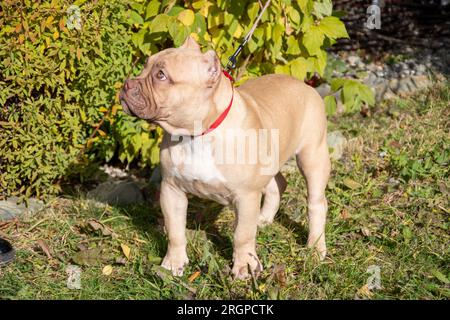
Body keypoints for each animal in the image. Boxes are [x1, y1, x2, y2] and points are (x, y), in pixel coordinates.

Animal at [119, 36, 330, 278]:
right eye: (145, 66)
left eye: (161, 75)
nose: (126, 84)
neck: (198, 133)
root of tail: (305, 86)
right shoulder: (172, 190)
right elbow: (175, 231)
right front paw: (174, 263)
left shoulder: (246, 196)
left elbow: (242, 235)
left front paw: (244, 266)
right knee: (278, 184)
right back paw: (264, 219)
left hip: (312, 158)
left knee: (316, 204)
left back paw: (315, 248)